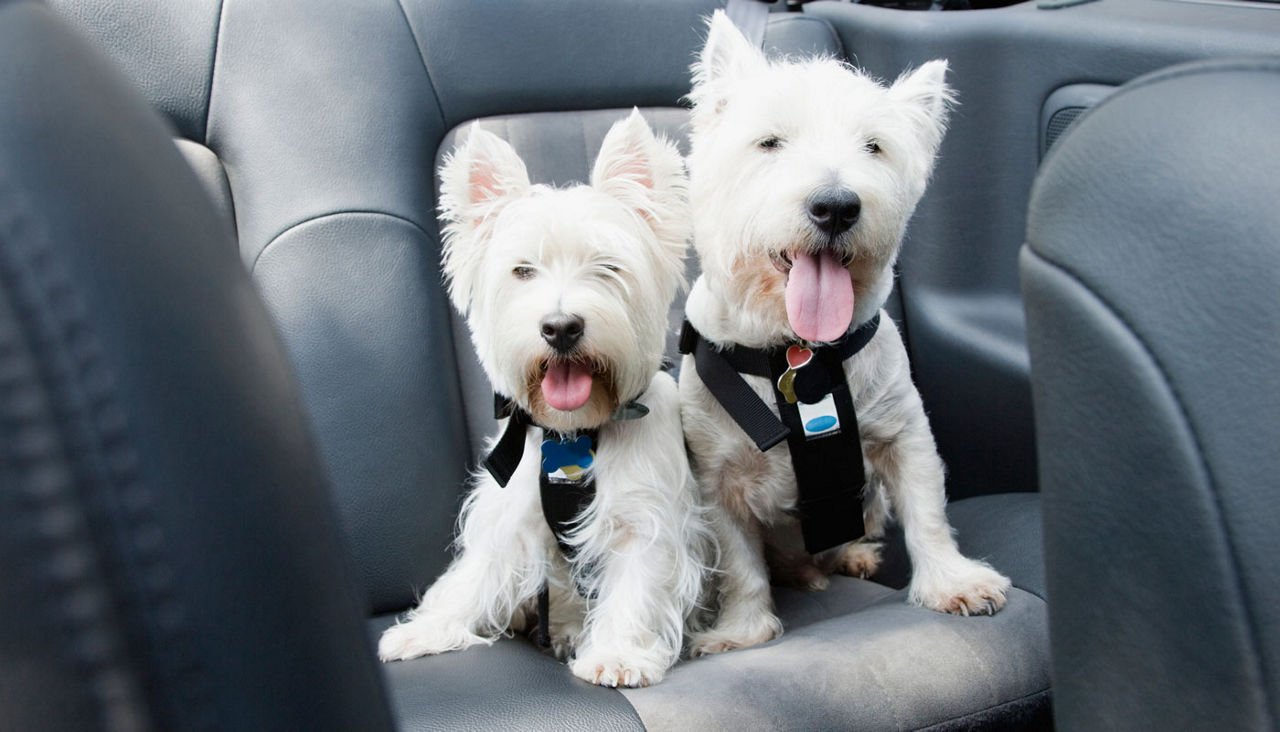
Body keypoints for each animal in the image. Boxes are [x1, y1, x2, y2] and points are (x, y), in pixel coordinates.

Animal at [378, 108, 711, 685]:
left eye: (608, 267)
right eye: (522, 271)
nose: (560, 328)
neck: (576, 431)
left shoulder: (644, 517)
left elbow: (637, 582)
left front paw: (618, 655)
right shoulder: (508, 512)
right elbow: (475, 573)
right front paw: (428, 628)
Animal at [675, 11, 1013, 655]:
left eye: (873, 147)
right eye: (770, 143)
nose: (836, 206)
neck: (797, 351)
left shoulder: (905, 433)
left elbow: (928, 512)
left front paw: (952, 582)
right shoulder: (714, 478)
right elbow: (738, 561)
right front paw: (742, 631)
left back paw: (849, 555)